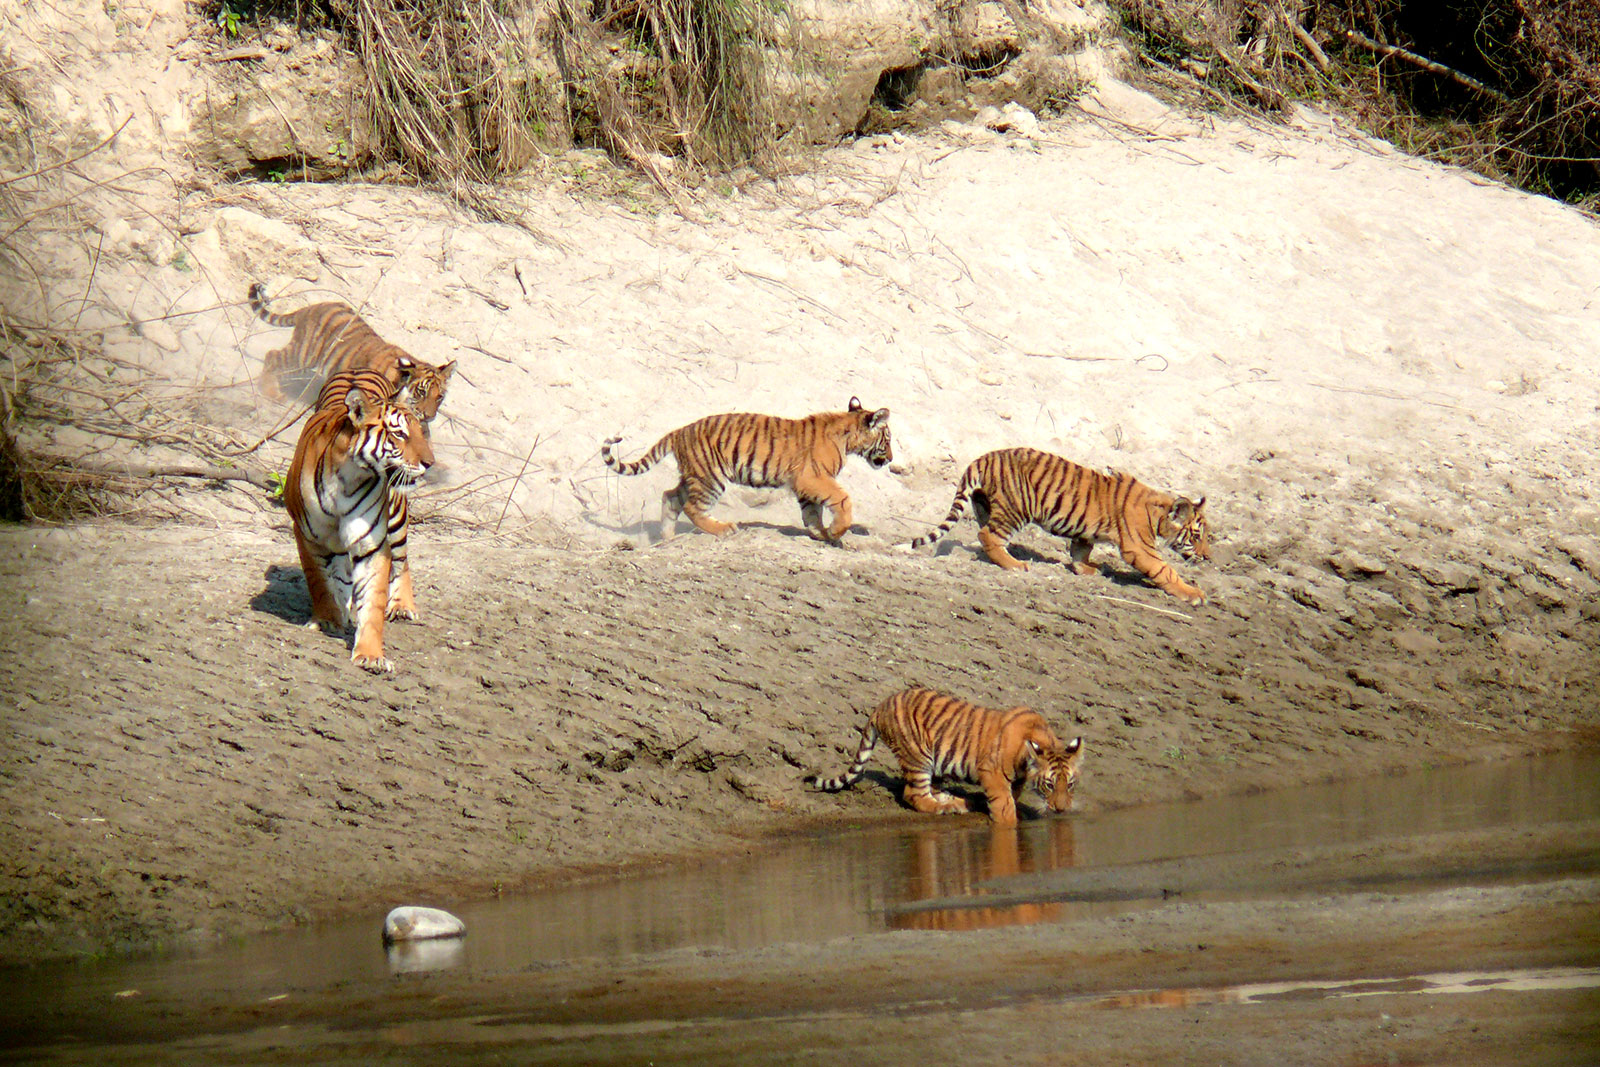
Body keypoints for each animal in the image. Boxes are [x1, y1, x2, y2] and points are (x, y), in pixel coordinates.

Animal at [246, 286, 457, 431]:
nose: (428, 416)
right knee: (272, 356)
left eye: (439, 397)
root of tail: (311, 307)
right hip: (303, 355)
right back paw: (270, 391)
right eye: (421, 392)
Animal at [281, 367, 432, 675]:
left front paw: (371, 655)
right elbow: (319, 580)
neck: (349, 477)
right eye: (400, 434)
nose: (429, 463)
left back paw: (402, 606)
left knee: (403, 561)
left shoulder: (373, 544)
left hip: (396, 518)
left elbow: (373, 600)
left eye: (420, 433)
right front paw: (327, 619)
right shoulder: (307, 535)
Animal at [604, 396, 896, 543]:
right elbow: (842, 499)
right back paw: (724, 530)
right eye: (889, 439)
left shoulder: (806, 484)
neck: (847, 435)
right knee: (692, 507)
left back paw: (666, 538)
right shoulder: (813, 477)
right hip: (711, 478)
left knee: (670, 497)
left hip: (694, 475)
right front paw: (836, 532)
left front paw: (822, 534)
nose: (891, 459)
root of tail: (679, 431)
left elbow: (813, 513)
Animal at [806, 687, 1081, 831]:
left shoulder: (1017, 779)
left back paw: (959, 802)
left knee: (932, 790)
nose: (1061, 809)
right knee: (913, 794)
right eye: (1049, 784)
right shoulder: (991, 772)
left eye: (1070, 784)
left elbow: (1012, 795)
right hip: (919, 756)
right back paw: (945, 808)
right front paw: (1009, 823)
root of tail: (880, 706)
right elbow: (1003, 803)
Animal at [908, 447, 1203, 604]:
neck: (1159, 513)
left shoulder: (1085, 531)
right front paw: (1193, 593)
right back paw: (1016, 565)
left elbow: (1080, 549)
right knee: (987, 535)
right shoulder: (1140, 548)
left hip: (986, 504)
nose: (1207, 557)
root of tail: (983, 457)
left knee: (985, 534)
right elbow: (1166, 570)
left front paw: (1086, 569)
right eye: (1198, 536)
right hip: (1016, 508)